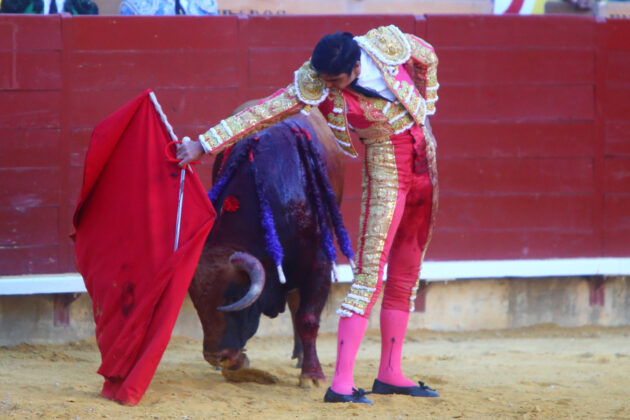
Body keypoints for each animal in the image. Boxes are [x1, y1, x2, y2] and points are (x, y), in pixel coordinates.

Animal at [190, 109, 354, 388]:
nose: (215, 357)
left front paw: (312, 376)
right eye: (196, 301)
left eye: (233, 296)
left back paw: (302, 358)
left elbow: (308, 318)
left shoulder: (318, 263)